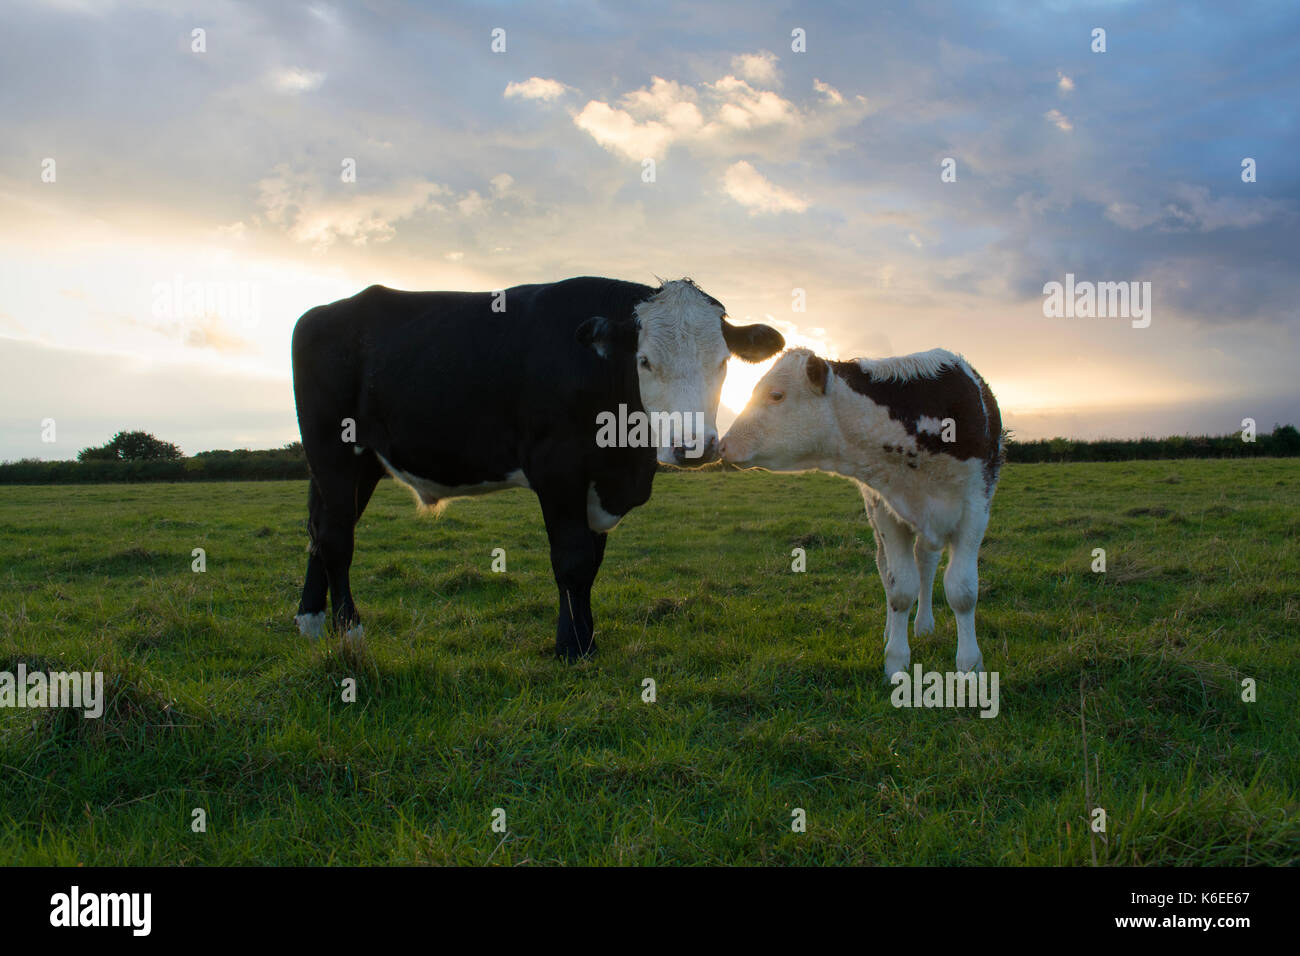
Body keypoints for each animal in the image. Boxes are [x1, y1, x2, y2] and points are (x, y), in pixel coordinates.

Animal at [292, 277, 780, 658]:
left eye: (722, 362)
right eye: (644, 361)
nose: (693, 447)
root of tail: (326, 311)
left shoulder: (597, 484)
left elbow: (591, 564)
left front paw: (588, 636)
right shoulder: (557, 469)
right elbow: (572, 559)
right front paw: (572, 647)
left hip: (358, 465)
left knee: (321, 529)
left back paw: (312, 622)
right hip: (332, 449)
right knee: (336, 539)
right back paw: (349, 632)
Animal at [722, 348, 1003, 676]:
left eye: (776, 395)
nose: (724, 445)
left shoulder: (976, 508)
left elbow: (962, 591)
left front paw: (970, 665)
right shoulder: (887, 512)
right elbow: (900, 587)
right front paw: (896, 660)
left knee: (927, 561)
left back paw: (923, 624)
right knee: (889, 567)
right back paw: (894, 629)